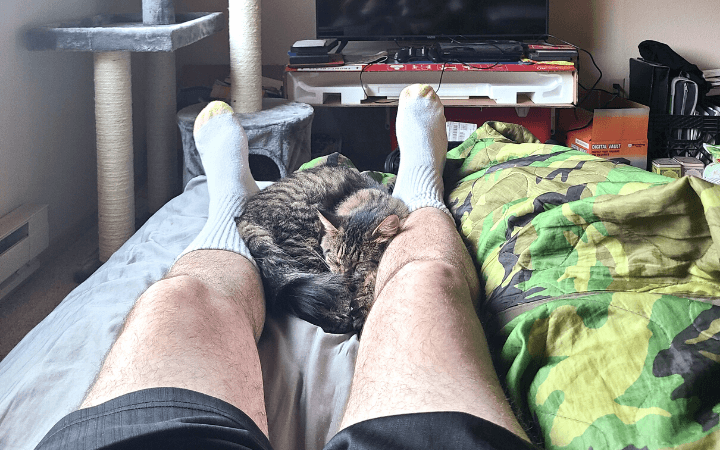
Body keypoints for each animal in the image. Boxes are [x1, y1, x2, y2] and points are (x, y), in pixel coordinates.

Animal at [236, 163, 408, 334]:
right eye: (336, 261)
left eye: (359, 264)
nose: (344, 279)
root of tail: (244, 217)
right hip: (305, 247)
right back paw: (341, 320)